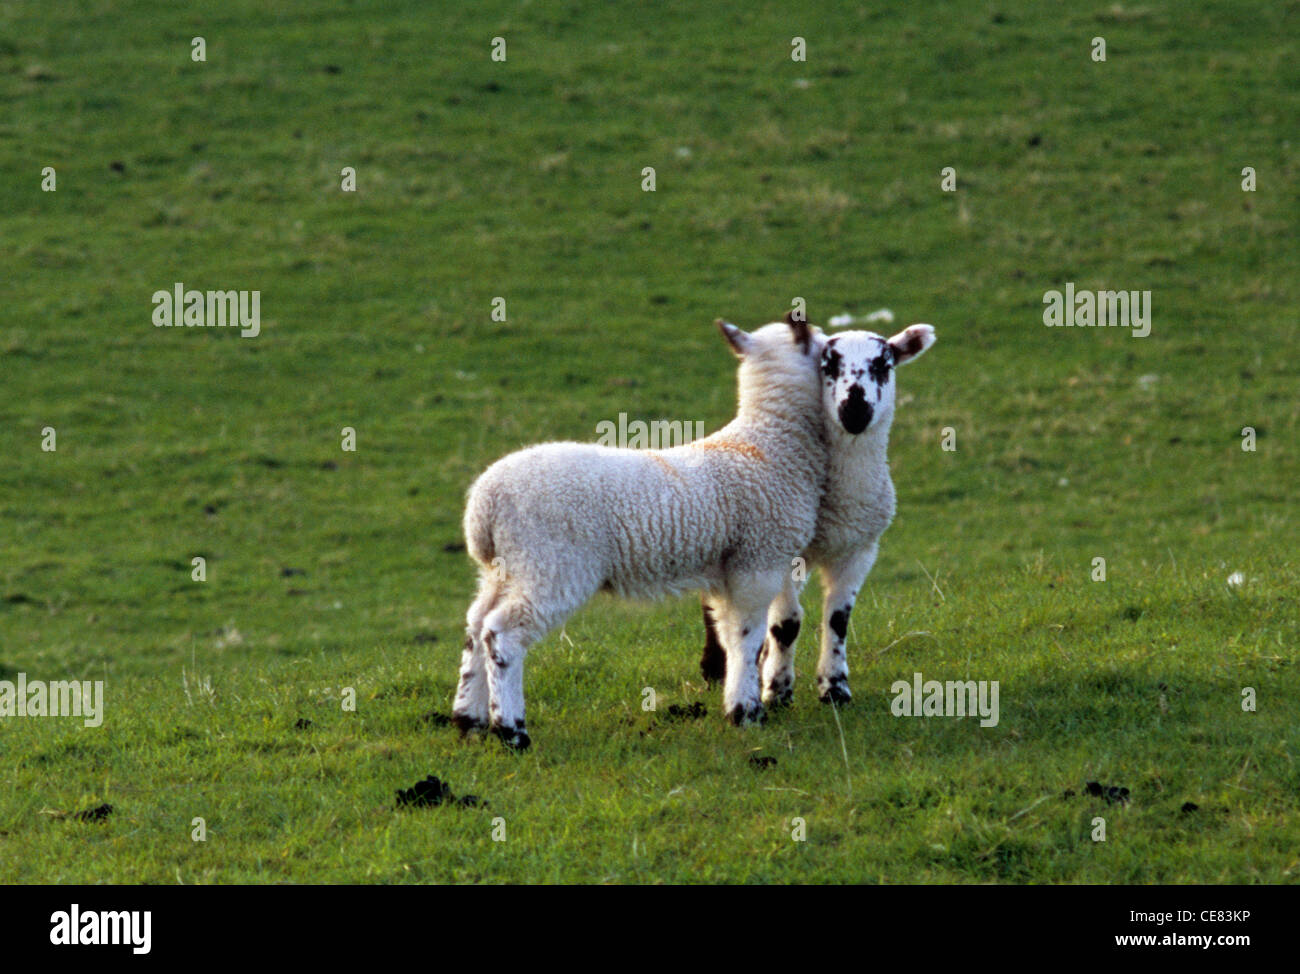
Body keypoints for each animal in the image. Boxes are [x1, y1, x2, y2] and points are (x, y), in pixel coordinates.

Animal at [452, 315, 826, 749]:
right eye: (821, 345)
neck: (768, 444)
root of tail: (484, 504)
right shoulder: (757, 561)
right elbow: (748, 636)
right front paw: (746, 712)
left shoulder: (726, 570)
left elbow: (729, 635)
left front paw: (737, 702)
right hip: (552, 563)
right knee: (503, 634)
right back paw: (511, 730)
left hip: (505, 567)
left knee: (477, 624)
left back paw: (469, 717)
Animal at [702, 318, 935, 707]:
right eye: (829, 366)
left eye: (883, 365)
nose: (854, 412)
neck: (842, 500)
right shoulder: (779, 551)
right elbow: (786, 624)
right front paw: (777, 690)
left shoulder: (860, 549)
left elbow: (838, 619)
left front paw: (835, 687)